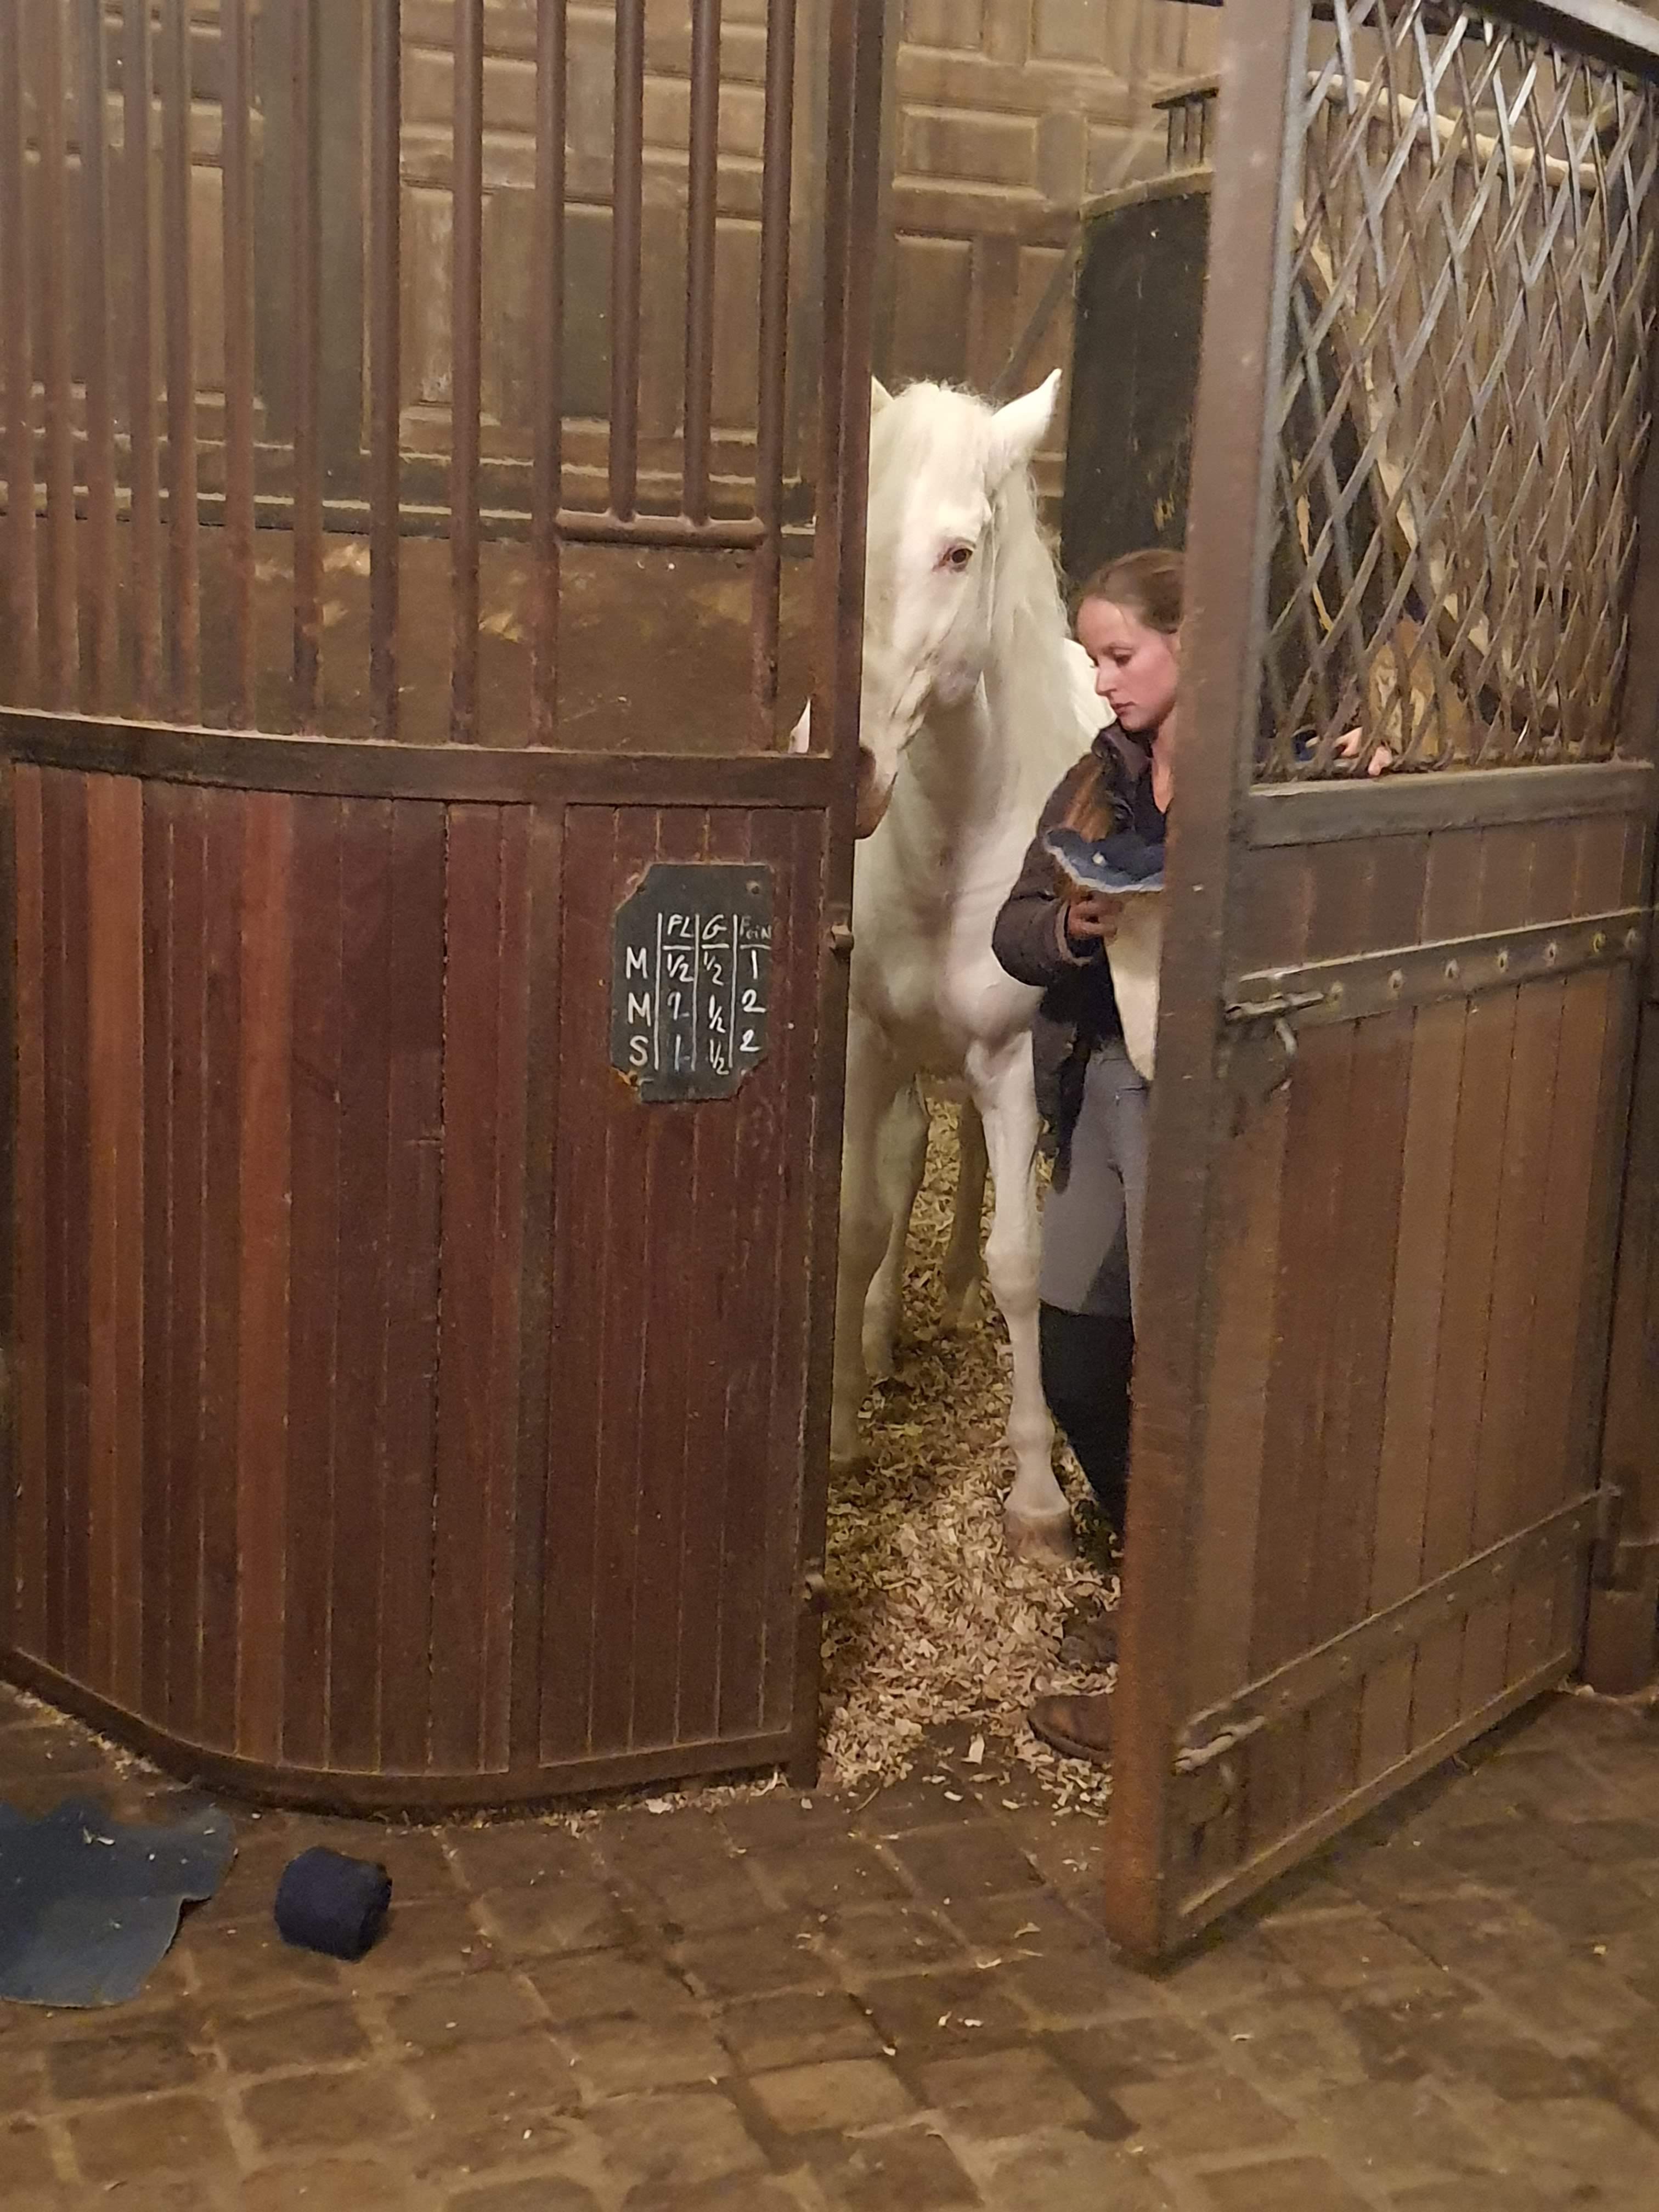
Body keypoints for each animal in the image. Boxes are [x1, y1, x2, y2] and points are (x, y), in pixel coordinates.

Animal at [799, 371, 1106, 1557]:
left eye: (959, 552)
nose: (847, 773)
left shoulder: (1013, 1057)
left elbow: (1024, 1262)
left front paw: (1036, 1495)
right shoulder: (863, 1045)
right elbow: (853, 1225)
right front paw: (841, 1428)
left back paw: (955, 1295)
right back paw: (886, 1330)